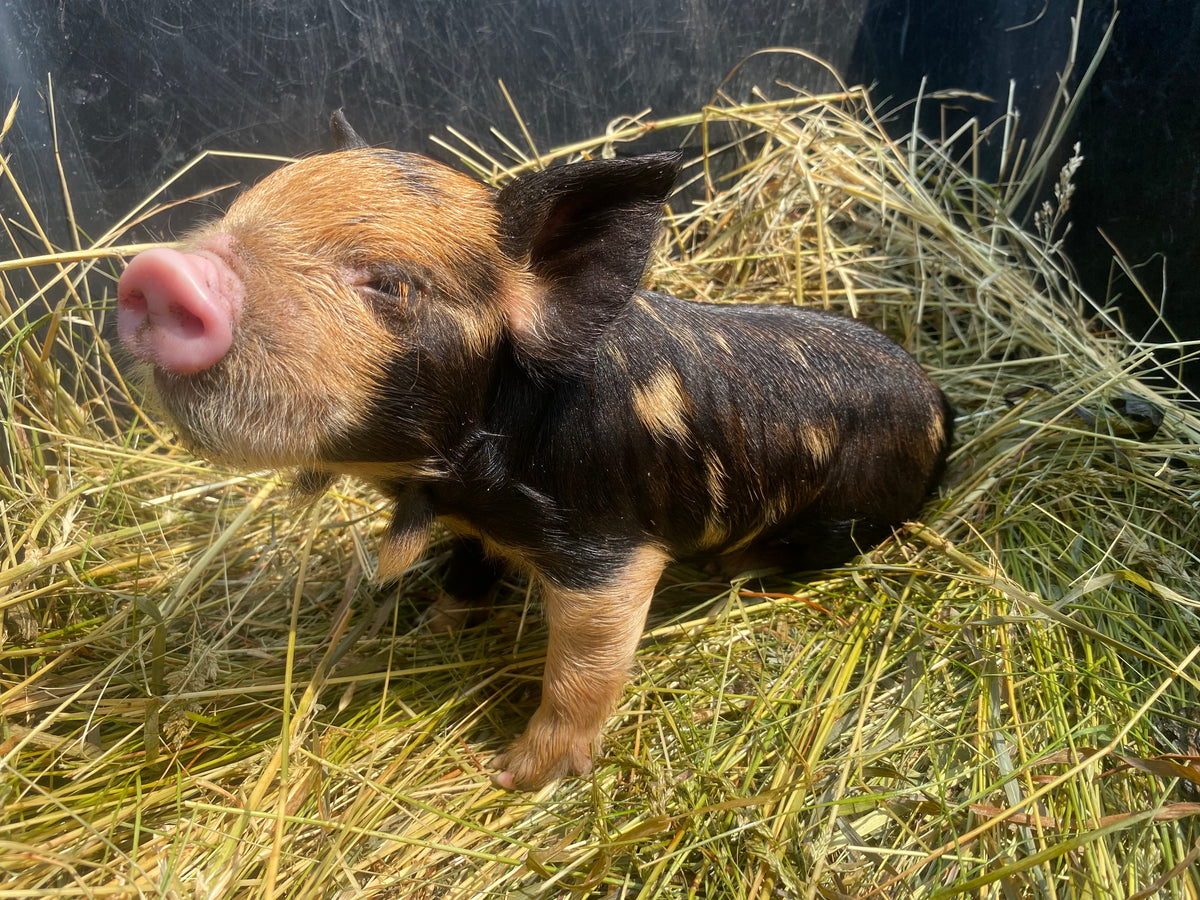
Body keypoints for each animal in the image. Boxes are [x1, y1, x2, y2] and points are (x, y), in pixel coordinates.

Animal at [116, 112, 952, 790]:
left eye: (390, 283)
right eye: (234, 212)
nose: (160, 270)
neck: (454, 482)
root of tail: (943, 406)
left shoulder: (607, 554)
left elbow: (583, 670)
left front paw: (515, 777)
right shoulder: (472, 527)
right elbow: (465, 572)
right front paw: (431, 627)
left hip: (844, 517)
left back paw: (732, 572)